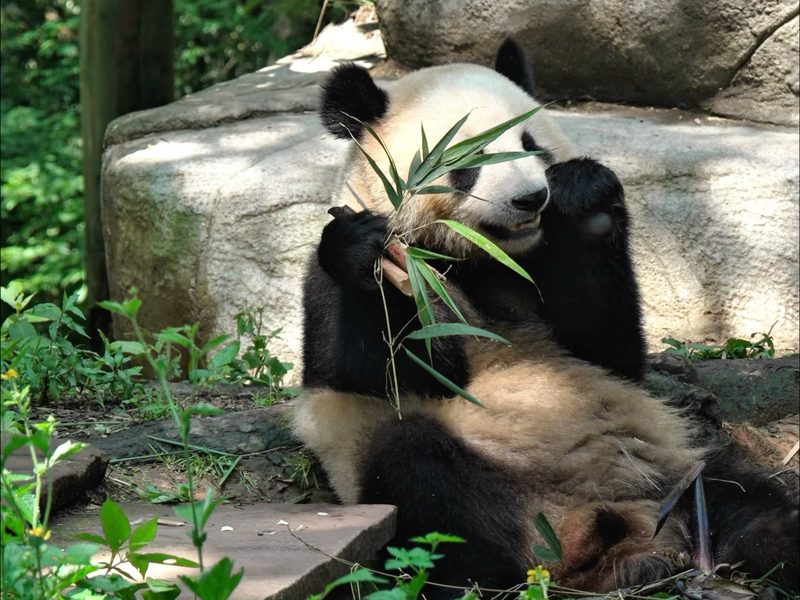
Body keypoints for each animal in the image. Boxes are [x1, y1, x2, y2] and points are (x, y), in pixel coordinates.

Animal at [294, 40, 799, 596]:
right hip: (444, 474)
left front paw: (584, 194)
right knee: (424, 481)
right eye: (466, 160)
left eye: (531, 144)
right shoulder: (349, 282)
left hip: (676, 465)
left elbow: (608, 350)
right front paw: (364, 250)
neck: (479, 257)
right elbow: (379, 368)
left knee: (746, 494)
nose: (531, 198)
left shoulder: (536, 271)